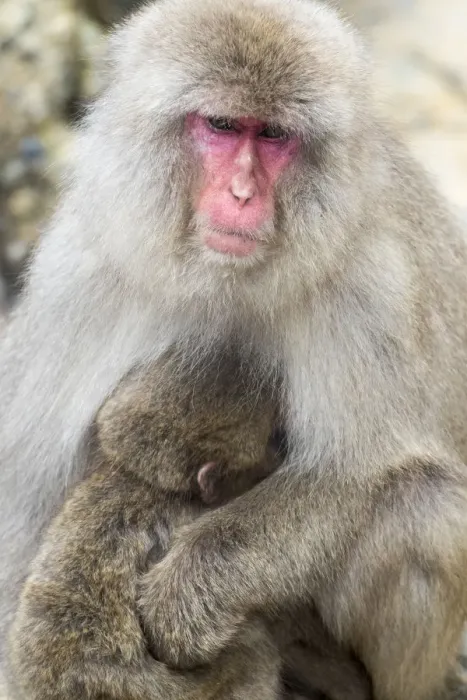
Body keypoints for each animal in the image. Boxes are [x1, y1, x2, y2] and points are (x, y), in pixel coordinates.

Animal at [0, 0, 467, 698]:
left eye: (272, 135)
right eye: (221, 125)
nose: (244, 195)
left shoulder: (371, 284)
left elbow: (362, 471)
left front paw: (185, 595)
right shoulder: (78, 272)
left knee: (420, 507)